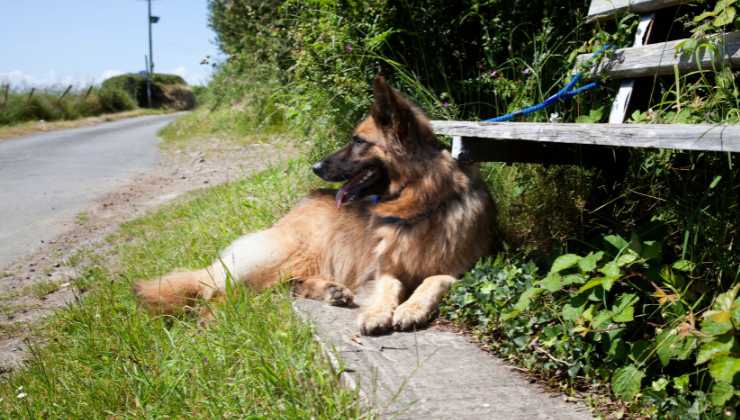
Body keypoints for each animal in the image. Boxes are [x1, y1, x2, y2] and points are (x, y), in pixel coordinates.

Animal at [134, 76, 492, 334]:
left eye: (358, 141)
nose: (315, 167)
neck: (415, 208)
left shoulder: (460, 270)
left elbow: (434, 280)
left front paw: (412, 307)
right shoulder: (385, 270)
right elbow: (388, 288)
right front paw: (378, 312)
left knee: (281, 287)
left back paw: (331, 291)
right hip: (294, 253)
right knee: (226, 292)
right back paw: (212, 318)